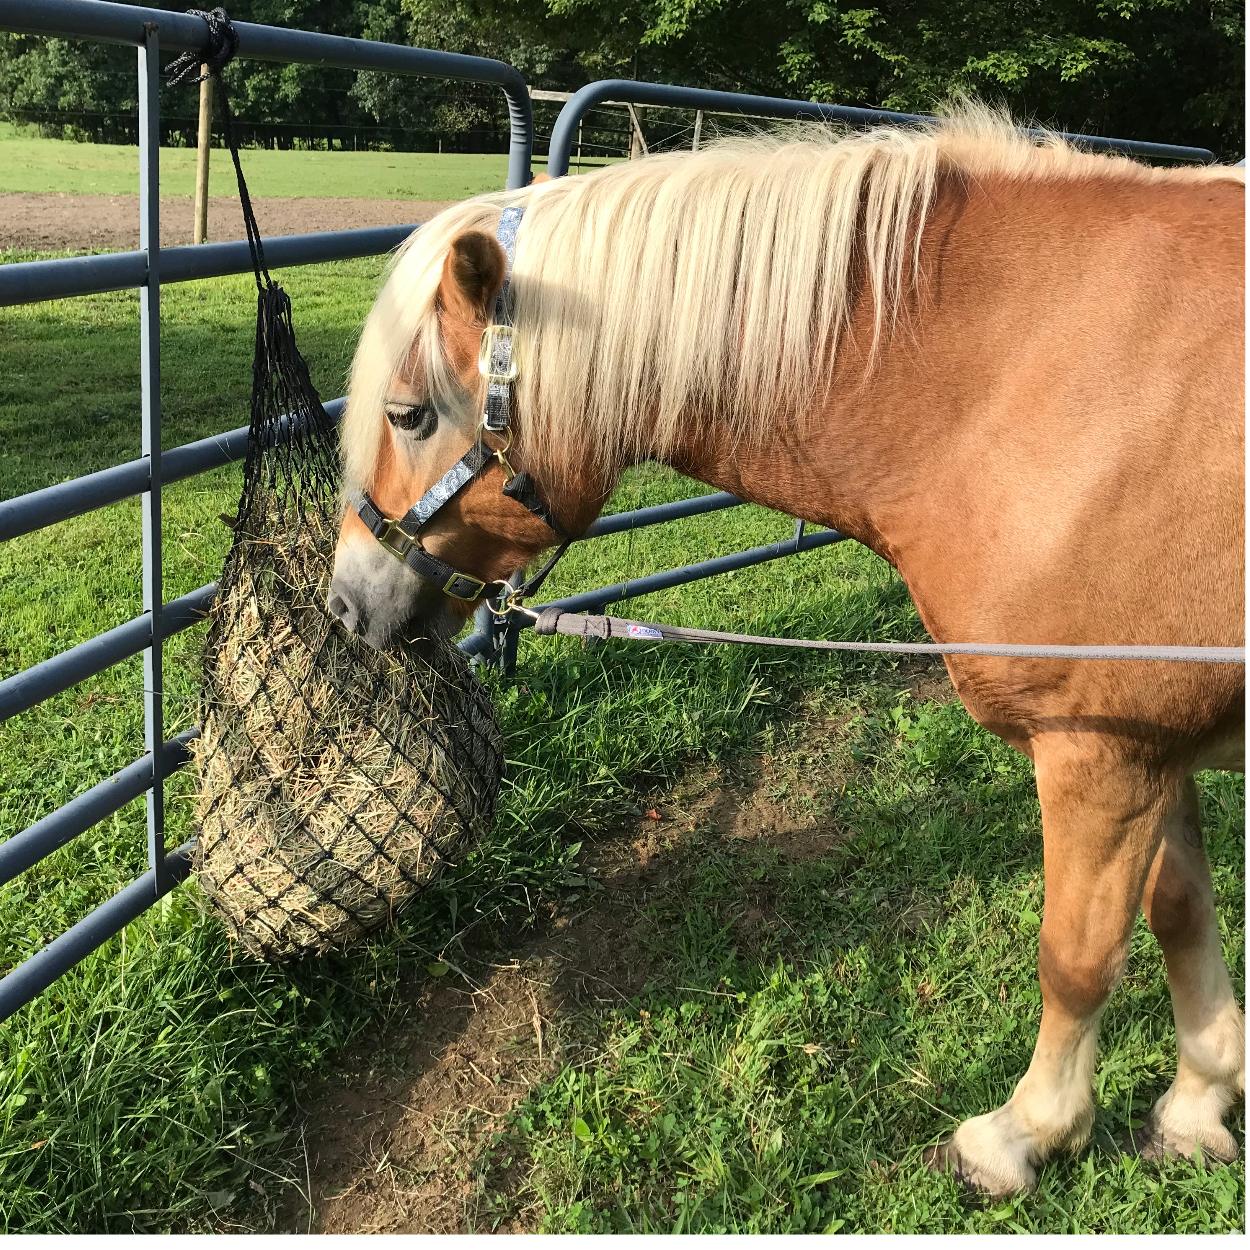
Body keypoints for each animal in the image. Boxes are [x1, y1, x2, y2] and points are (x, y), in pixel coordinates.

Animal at [327, 105, 1245, 1197]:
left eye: (408, 413)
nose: (346, 603)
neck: (1036, 378)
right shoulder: (1150, 751)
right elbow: (1178, 909)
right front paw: (1198, 1101)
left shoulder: (1100, 757)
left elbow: (1075, 956)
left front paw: (1024, 1133)